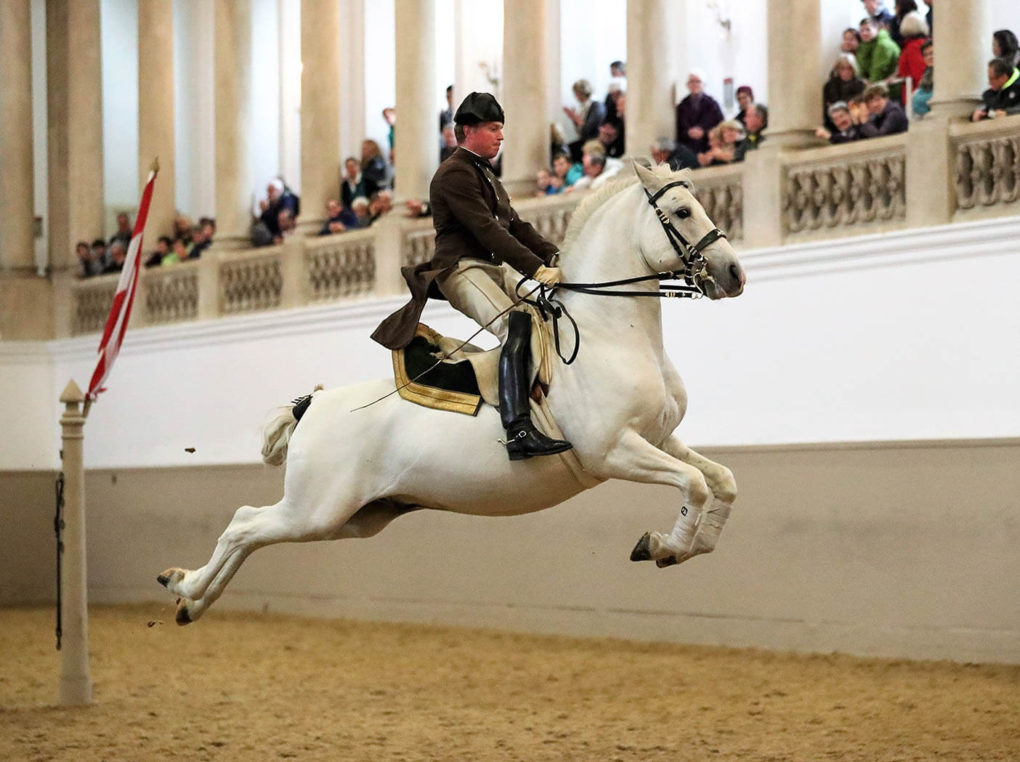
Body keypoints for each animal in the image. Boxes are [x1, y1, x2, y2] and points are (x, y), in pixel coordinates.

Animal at [157, 164, 742, 624]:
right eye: (683, 211)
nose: (733, 273)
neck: (609, 331)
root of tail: (313, 405)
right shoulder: (614, 451)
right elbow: (694, 485)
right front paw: (664, 546)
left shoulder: (658, 439)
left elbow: (721, 483)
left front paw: (683, 547)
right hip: (316, 509)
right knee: (243, 524)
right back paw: (184, 587)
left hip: (352, 518)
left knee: (251, 533)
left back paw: (191, 600)